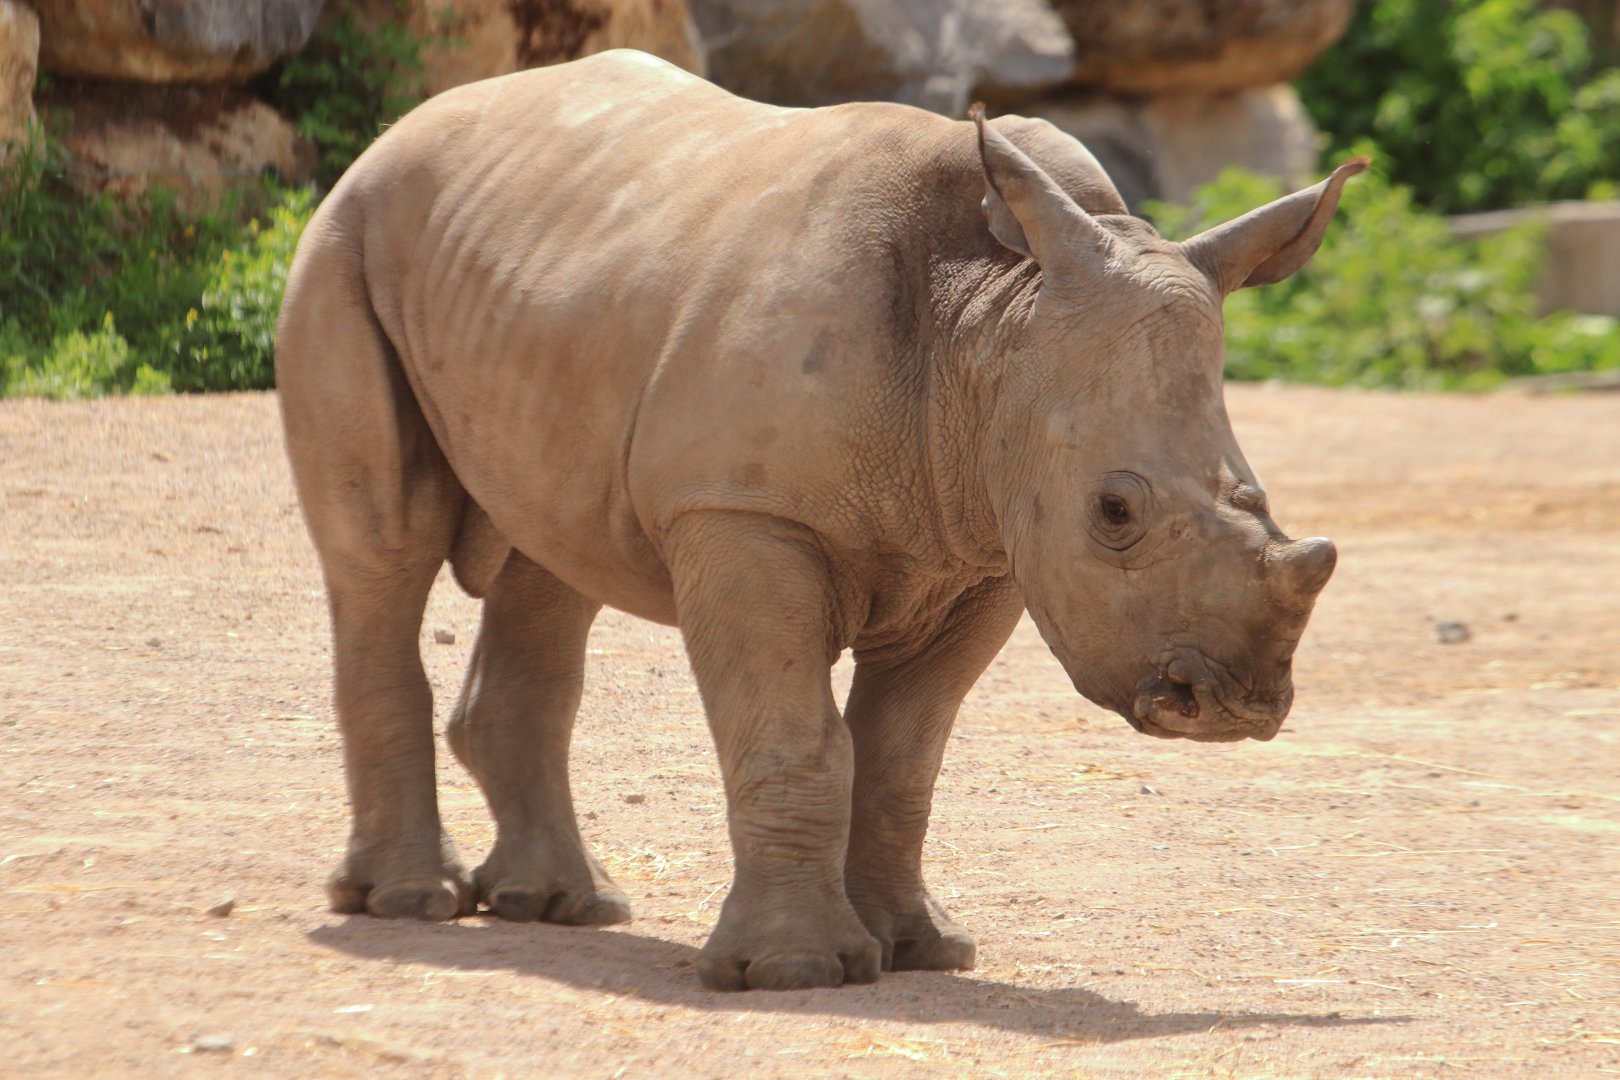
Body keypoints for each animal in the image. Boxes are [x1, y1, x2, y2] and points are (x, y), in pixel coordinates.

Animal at [276, 49, 1355, 992]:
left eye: (1255, 497)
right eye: (1116, 511)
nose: (1232, 704)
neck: (993, 324)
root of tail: (403, 128)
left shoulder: (986, 547)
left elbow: (903, 755)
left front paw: (918, 950)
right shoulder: (744, 515)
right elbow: (795, 739)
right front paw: (789, 973)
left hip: (540, 289)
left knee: (551, 559)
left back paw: (564, 907)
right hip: (345, 240)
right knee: (384, 549)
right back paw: (409, 902)